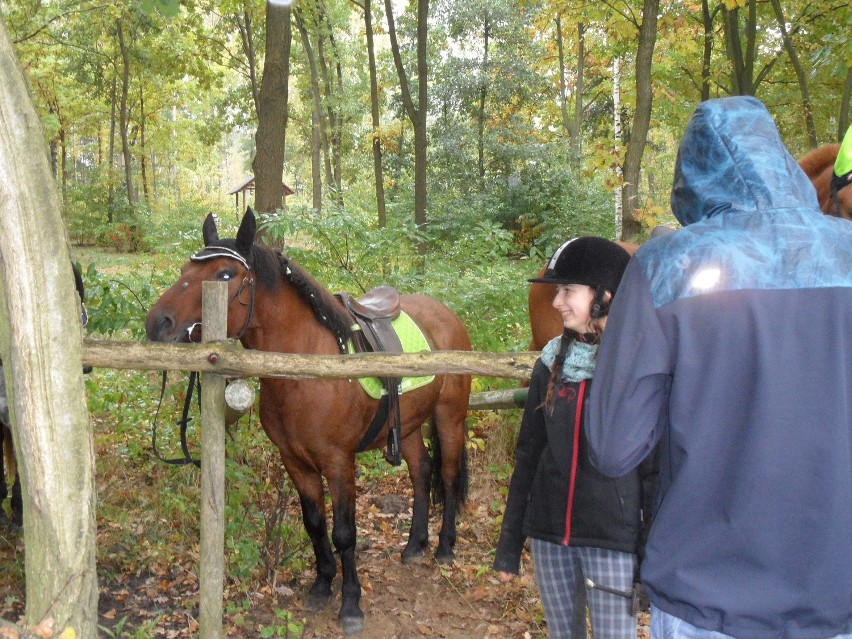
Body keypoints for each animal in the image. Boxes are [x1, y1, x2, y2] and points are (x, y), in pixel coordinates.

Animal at [142, 211, 470, 636]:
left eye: (225, 275)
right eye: (185, 269)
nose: (157, 323)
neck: (306, 368)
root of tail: (446, 314)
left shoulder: (338, 462)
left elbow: (345, 533)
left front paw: (351, 605)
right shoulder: (295, 462)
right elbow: (314, 523)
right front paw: (321, 586)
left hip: (450, 416)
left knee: (447, 475)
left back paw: (445, 547)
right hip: (410, 425)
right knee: (421, 472)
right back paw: (415, 545)